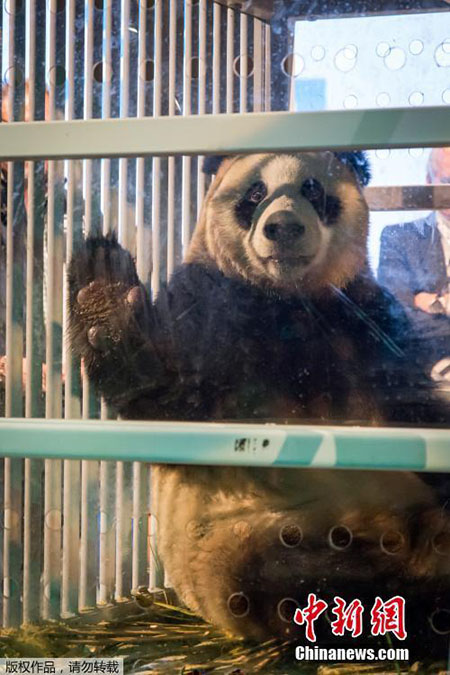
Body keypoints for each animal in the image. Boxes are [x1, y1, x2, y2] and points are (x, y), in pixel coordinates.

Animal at [69, 151, 450, 647]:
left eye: (312, 189)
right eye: (254, 193)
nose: (283, 226)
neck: (287, 300)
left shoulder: (362, 315)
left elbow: (406, 406)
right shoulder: (212, 303)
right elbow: (169, 401)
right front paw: (104, 300)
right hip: (243, 540)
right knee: (295, 578)